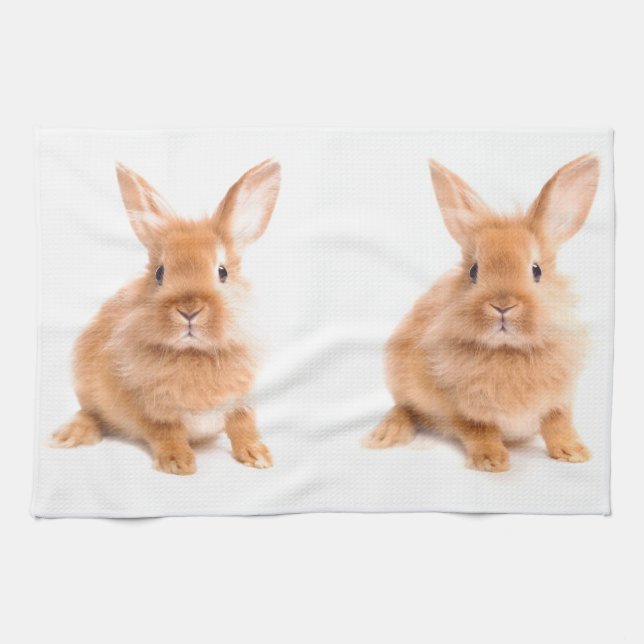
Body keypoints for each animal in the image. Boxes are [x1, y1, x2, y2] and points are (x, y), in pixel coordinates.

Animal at [51, 159, 281, 475]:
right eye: (160, 273)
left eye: (222, 272)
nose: (189, 310)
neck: (193, 354)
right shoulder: (150, 410)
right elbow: (165, 432)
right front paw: (178, 463)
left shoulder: (240, 401)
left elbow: (242, 426)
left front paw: (258, 456)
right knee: (91, 414)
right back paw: (68, 435)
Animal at [364, 154, 600, 472]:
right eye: (474, 271)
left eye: (536, 270)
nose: (503, 305)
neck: (507, 351)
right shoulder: (461, 409)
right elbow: (479, 430)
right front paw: (492, 461)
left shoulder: (558, 401)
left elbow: (558, 424)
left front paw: (574, 453)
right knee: (405, 408)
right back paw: (385, 434)